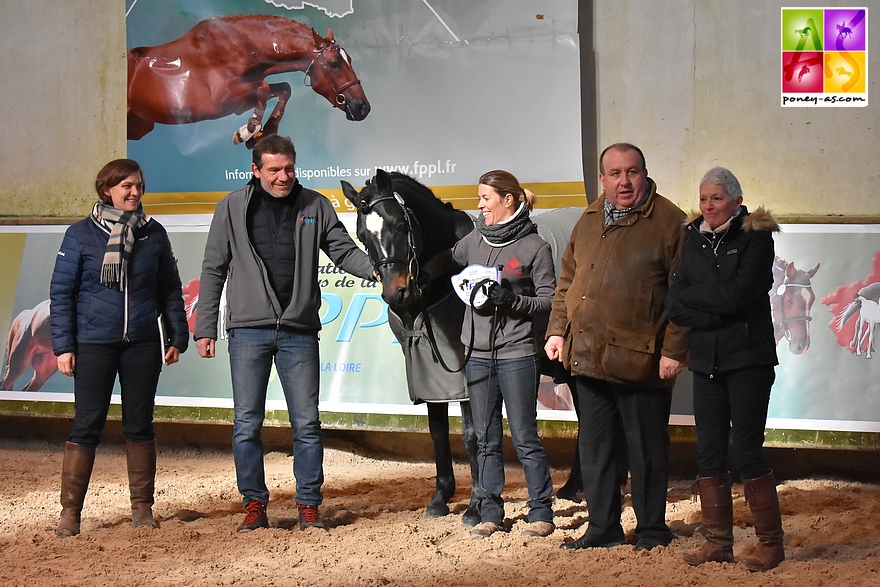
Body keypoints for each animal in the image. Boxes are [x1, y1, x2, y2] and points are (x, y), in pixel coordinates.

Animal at [342, 170, 482, 528]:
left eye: (399, 225)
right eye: (362, 235)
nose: (398, 294)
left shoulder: (465, 378)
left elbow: (472, 435)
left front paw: (477, 505)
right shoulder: (430, 374)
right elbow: (437, 433)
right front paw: (440, 498)